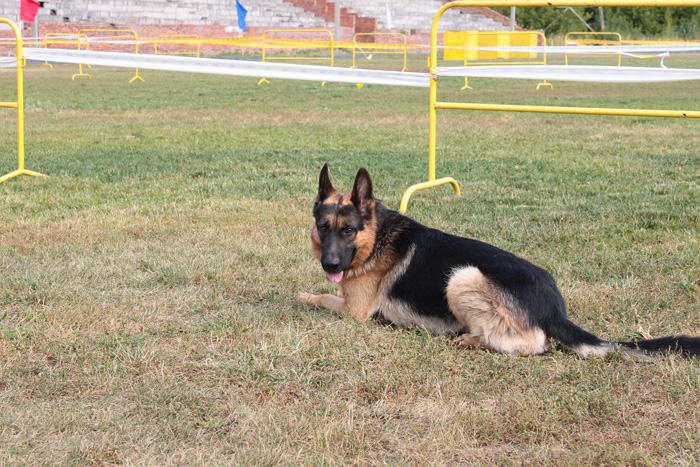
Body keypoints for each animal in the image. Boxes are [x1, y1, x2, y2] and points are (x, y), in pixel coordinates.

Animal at [296, 165, 700, 358]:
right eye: (324, 228)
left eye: (349, 230)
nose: (331, 265)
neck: (377, 237)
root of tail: (554, 307)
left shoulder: (355, 310)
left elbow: (324, 297)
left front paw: (304, 295)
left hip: (462, 277)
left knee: (534, 342)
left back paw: (471, 340)